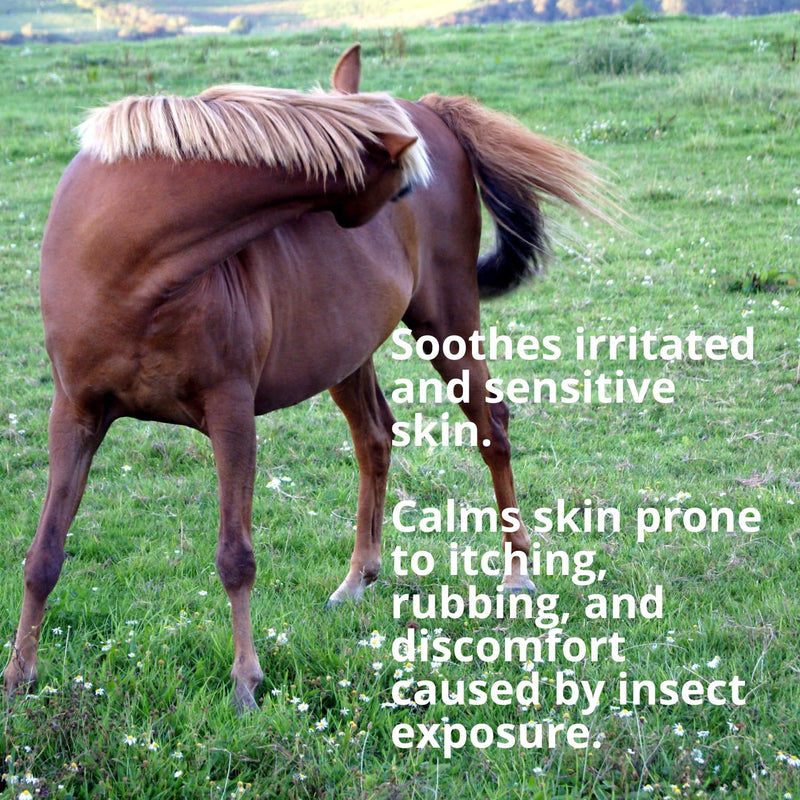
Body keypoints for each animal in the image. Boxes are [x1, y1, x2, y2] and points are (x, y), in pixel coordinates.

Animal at [5, 45, 613, 710]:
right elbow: (44, 553)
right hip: (347, 354)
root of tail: (429, 109)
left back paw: (517, 571)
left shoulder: (231, 415)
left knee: (490, 428)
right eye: (402, 187)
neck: (127, 260)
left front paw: (245, 682)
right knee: (376, 438)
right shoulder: (75, 414)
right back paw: (358, 579)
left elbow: (235, 556)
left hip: (447, 321)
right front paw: (19, 677)